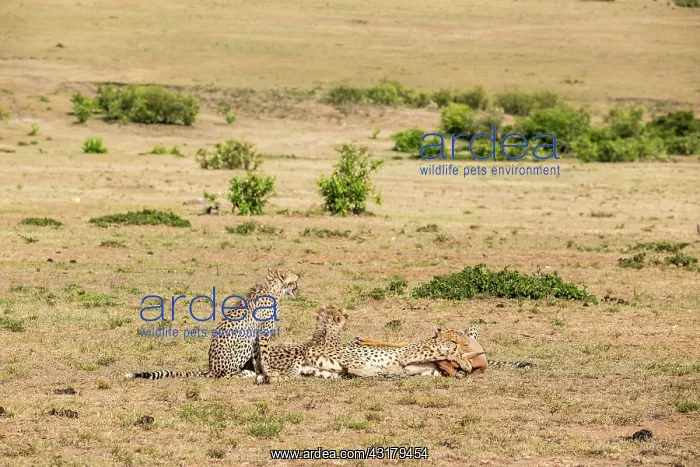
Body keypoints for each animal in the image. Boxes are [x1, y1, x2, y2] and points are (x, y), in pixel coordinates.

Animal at [125, 268, 299, 382]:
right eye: (295, 281)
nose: (298, 288)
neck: (274, 289)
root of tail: (211, 369)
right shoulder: (263, 332)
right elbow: (265, 355)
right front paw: (270, 373)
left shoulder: (256, 335)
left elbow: (258, 357)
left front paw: (261, 373)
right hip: (242, 343)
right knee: (224, 375)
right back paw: (243, 373)